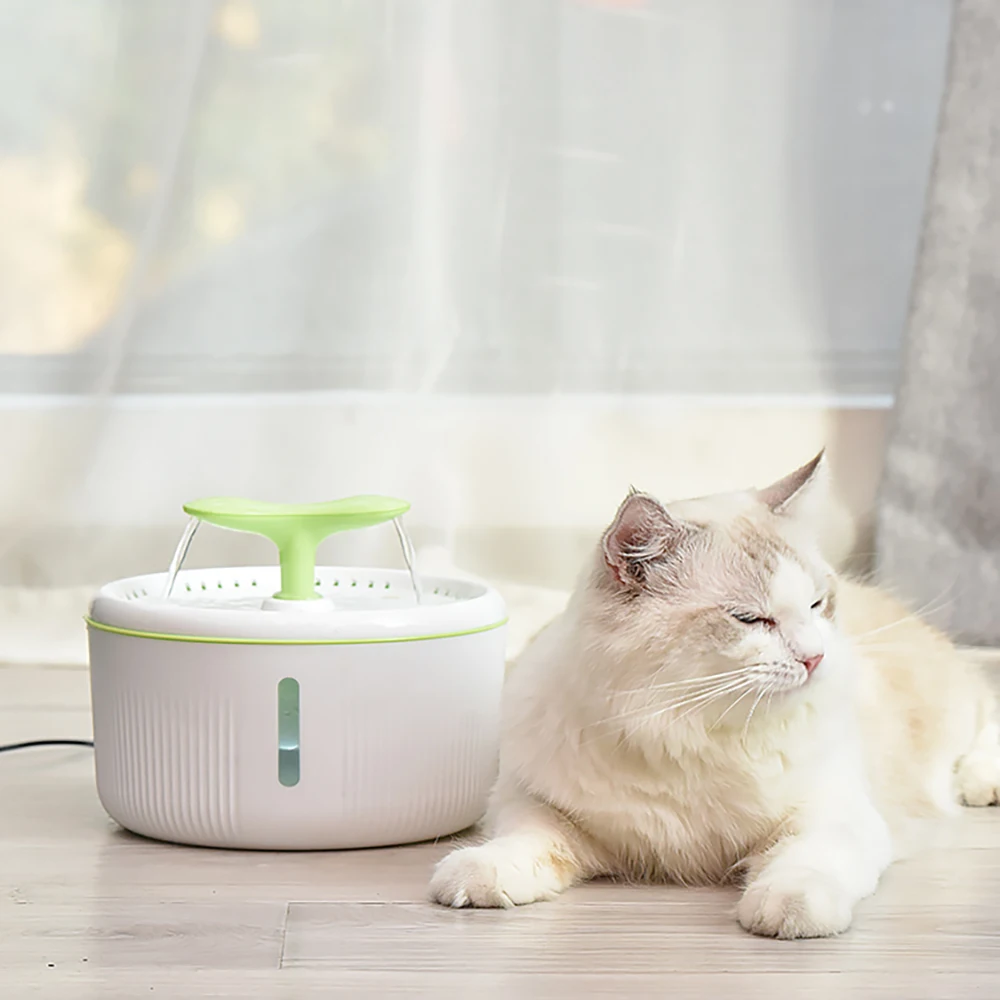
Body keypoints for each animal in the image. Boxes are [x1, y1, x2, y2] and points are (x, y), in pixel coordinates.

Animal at [429, 451, 1000, 938]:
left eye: (817, 605)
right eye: (750, 619)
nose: (815, 657)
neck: (692, 729)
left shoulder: (835, 814)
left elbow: (806, 861)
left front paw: (789, 908)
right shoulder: (536, 804)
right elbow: (524, 840)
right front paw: (478, 874)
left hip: (955, 708)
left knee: (984, 713)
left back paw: (980, 783)